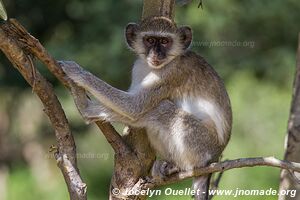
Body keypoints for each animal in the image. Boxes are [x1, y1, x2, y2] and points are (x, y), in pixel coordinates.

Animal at [61, 16, 232, 200]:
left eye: (164, 41)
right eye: (150, 40)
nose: (156, 54)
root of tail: (214, 157)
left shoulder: (172, 72)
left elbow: (134, 107)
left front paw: (79, 77)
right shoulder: (138, 67)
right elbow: (132, 107)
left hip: (201, 142)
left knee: (160, 109)